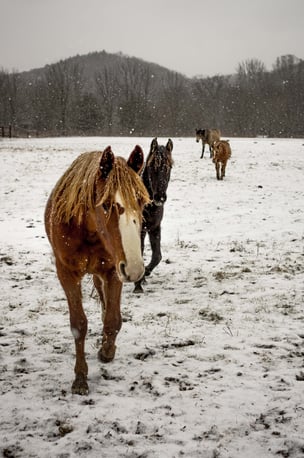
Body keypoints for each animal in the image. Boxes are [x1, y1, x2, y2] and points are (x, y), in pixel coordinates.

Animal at [45, 146, 150, 394]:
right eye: (105, 205)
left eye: (141, 202)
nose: (135, 269)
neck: (88, 229)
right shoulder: (66, 274)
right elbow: (78, 325)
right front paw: (80, 378)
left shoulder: (114, 270)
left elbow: (112, 319)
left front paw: (106, 351)